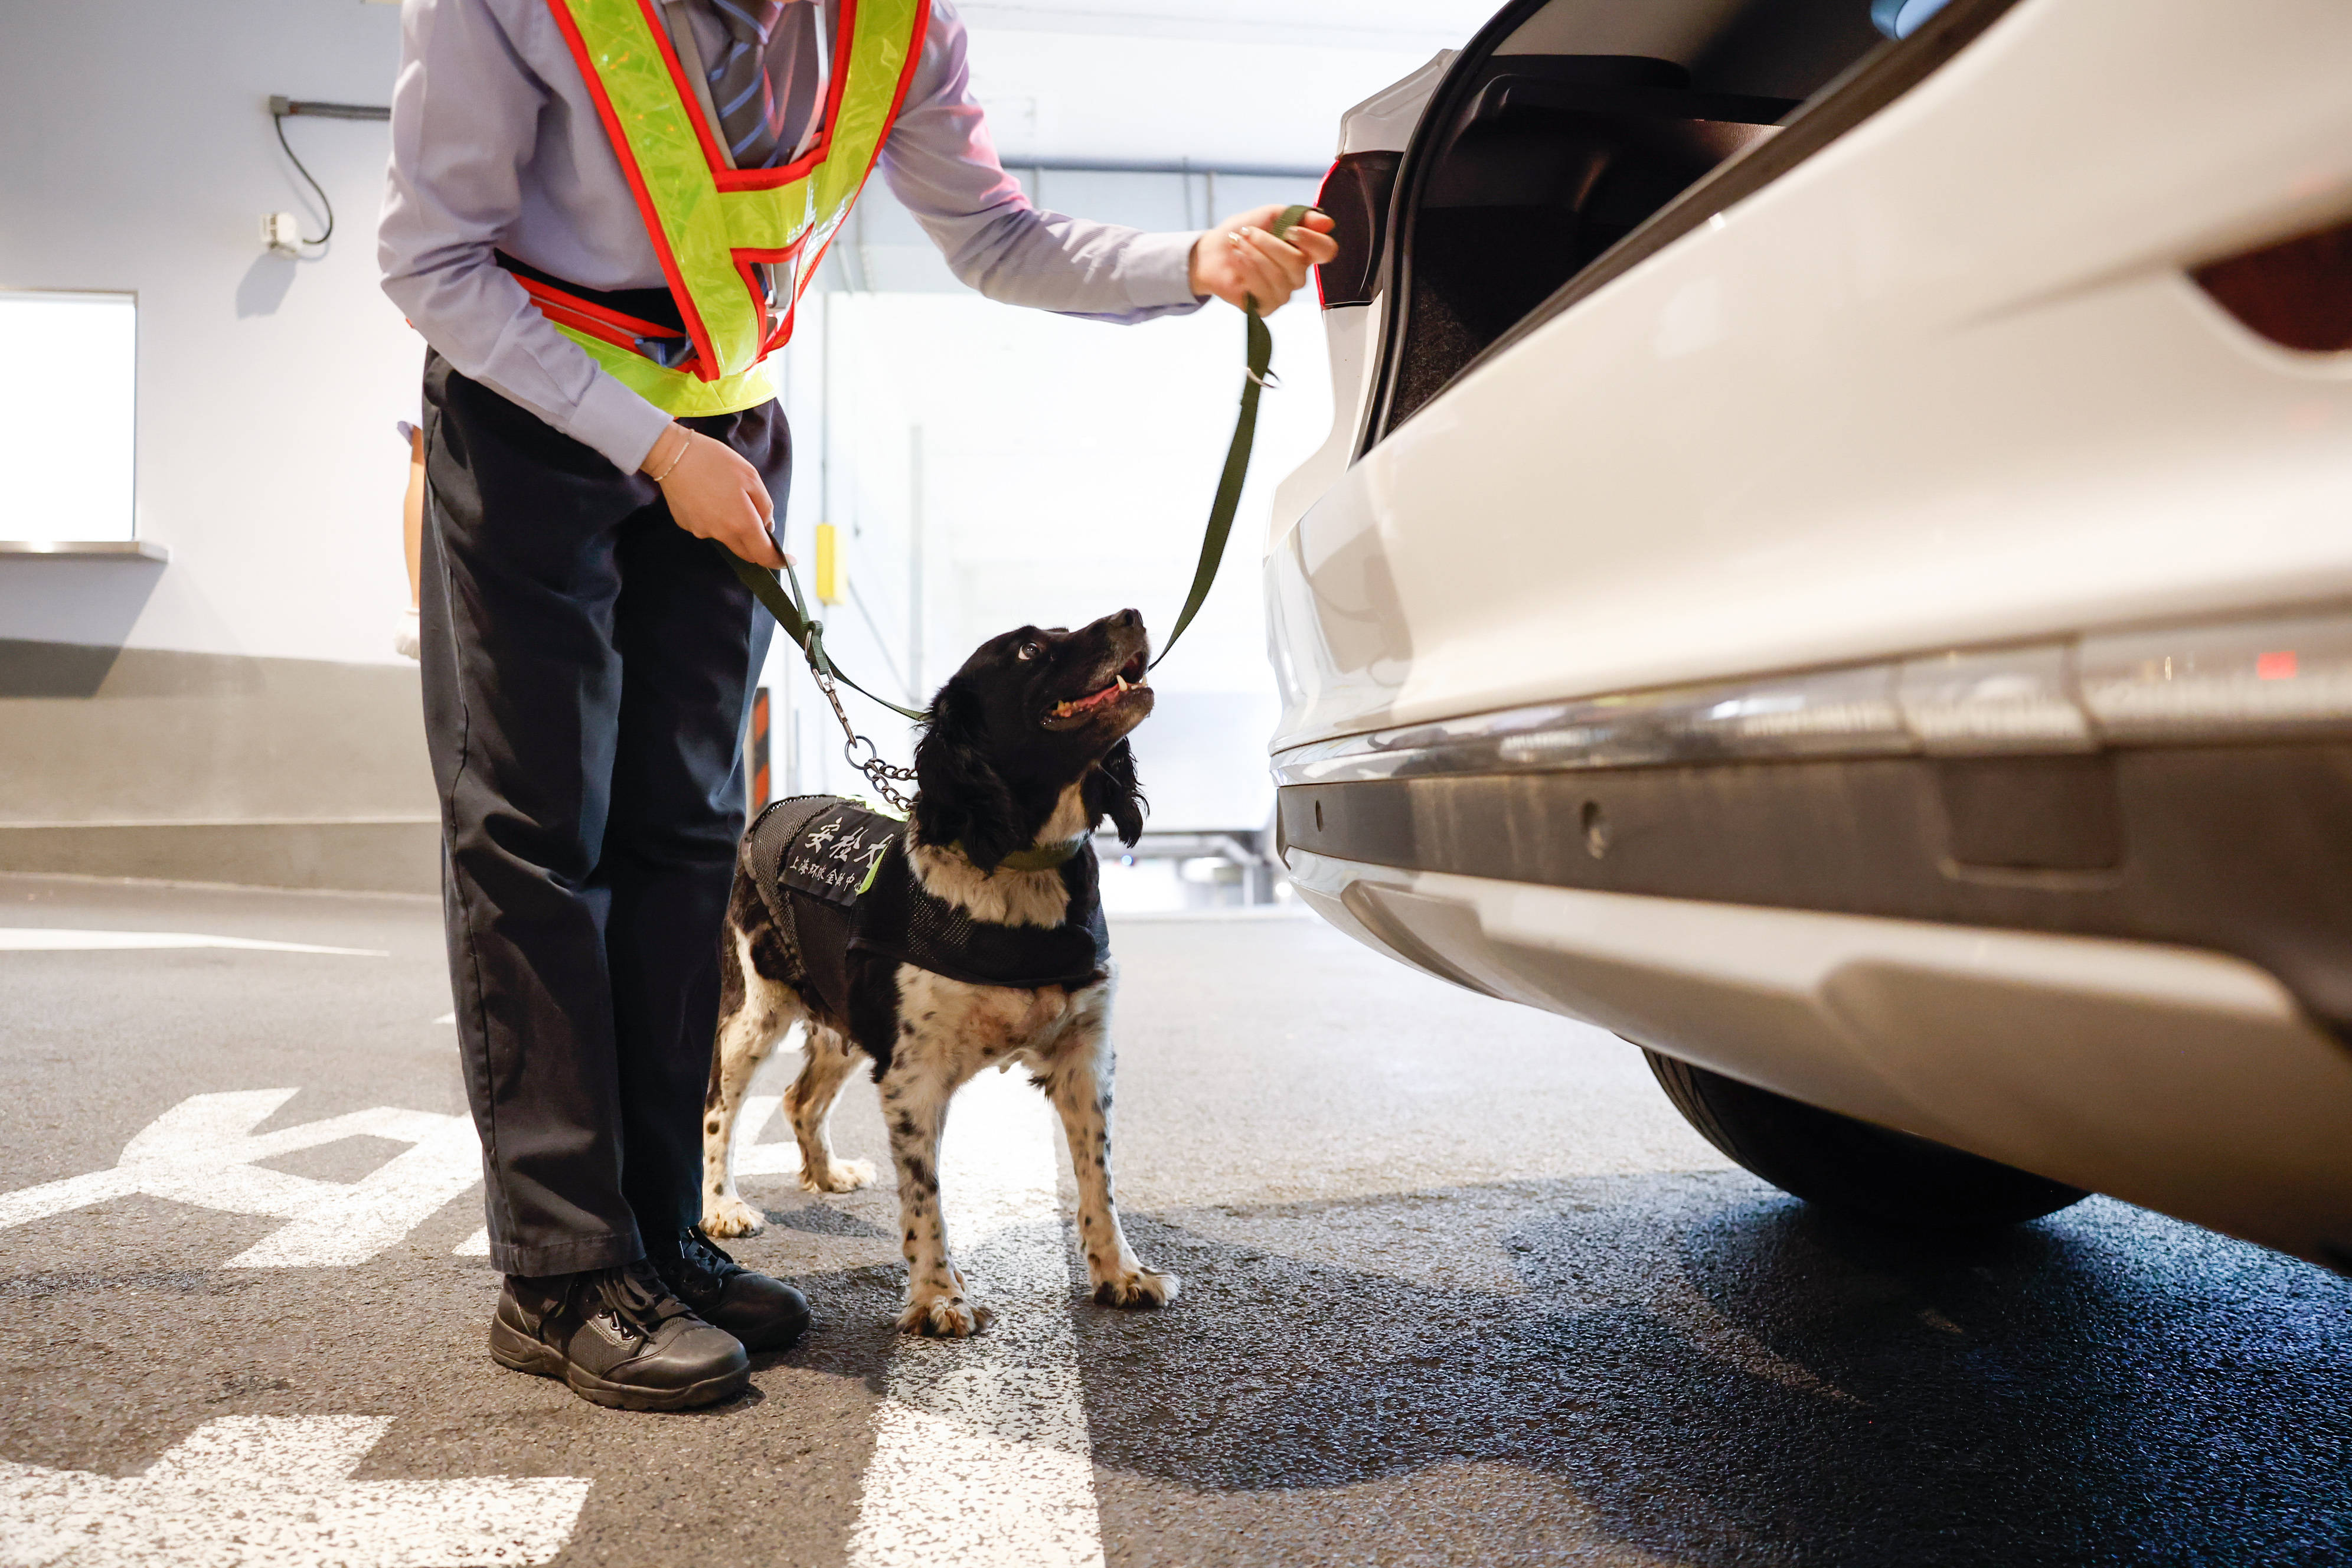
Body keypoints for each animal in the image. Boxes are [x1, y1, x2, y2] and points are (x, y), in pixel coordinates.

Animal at [696, 606, 1176, 1335]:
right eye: (1029, 649)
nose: (1134, 615)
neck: (1017, 866)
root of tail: (776, 809)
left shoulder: (1084, 1057)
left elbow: (1099, 1180)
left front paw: (1121, 1273)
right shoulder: (913, 1074)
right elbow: (926, 1199)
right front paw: (938, 1297)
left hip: (845, 1019)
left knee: (799, 1100)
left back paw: (827, 1173)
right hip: (752, 1013)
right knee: (718, 1111)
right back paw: (722, 1206)